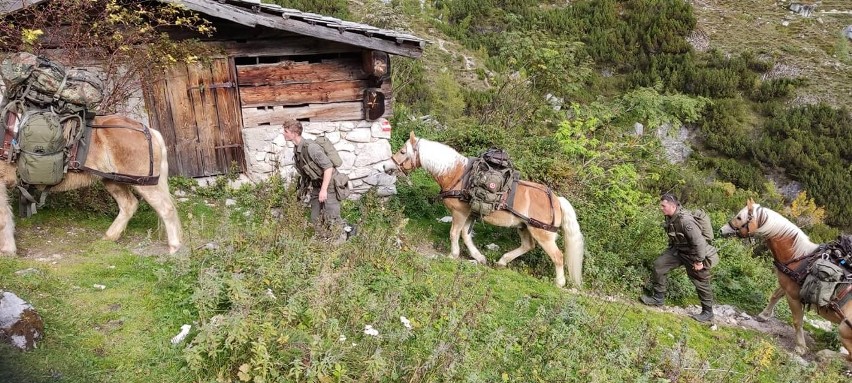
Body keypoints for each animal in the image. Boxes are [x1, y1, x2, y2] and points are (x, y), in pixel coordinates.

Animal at [0, 115, 180, 256]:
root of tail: (149, 130)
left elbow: (3, 217)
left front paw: (7, 250)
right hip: (113, 181)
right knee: (129, 205)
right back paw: (109, 237)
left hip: (144, 183)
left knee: (166, 209)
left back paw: (174, 247)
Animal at [386, 133, 584, 288]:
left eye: (403, 152)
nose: (387, 166)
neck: (458, 175)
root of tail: (556, 200)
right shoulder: (469, 214)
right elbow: (465, 235)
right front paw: (479, 257)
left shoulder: (459, 213)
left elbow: (454, 233)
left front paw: (453, 255)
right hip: (524, 227)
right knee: (528, 246)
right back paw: (502, 261)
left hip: (543, 233)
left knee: (558, 256)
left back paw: (559, 282)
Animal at [720, 200, 852, 362]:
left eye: (739, 217)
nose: (721, 230)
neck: (798, 257)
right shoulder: (786, 285)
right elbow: (775, 296)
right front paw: (764, 315)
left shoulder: (793, 296)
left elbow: (797, 320)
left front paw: (800, 347)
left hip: (843, 328)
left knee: (850, 357)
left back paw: (825, 354)